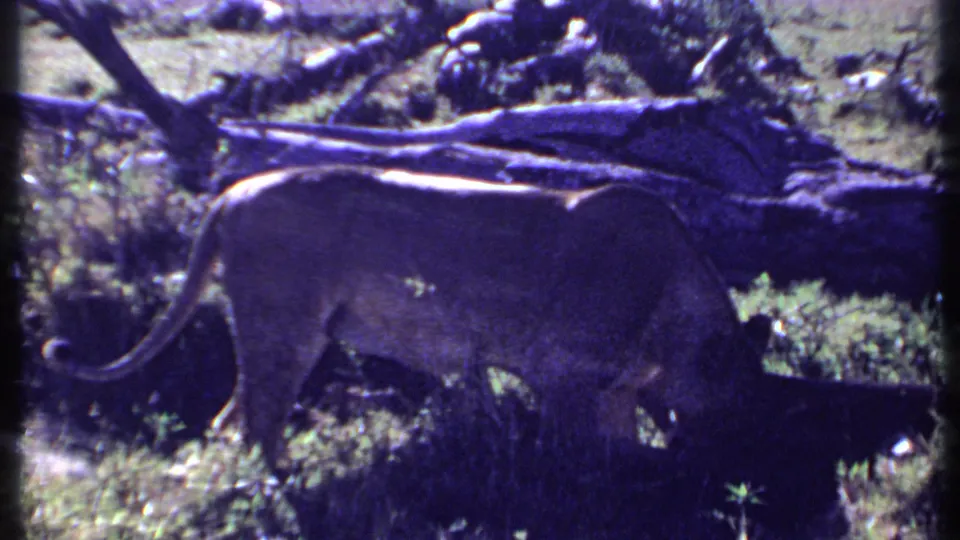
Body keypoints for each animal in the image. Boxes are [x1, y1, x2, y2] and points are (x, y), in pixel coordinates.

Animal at [42, 165, 769, 469]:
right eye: (736, 409)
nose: (732, 455)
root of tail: (229, 194)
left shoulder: (612, 390)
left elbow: (621, 440)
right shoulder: (564, 378)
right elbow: (587, 454)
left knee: (233, 418)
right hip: (284, 324)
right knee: (258, 420)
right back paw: (284, 482)